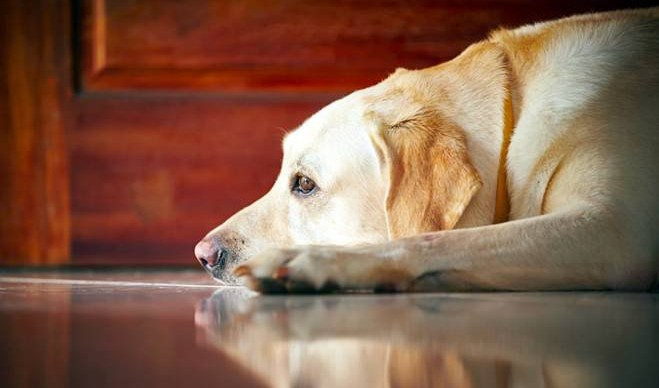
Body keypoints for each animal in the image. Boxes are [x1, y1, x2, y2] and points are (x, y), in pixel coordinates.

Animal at [195, 7, 659, 292]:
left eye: (305, 184)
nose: (203, 254)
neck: (515, 103)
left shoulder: (611, 229)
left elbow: (437, 240)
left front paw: (314, 261)